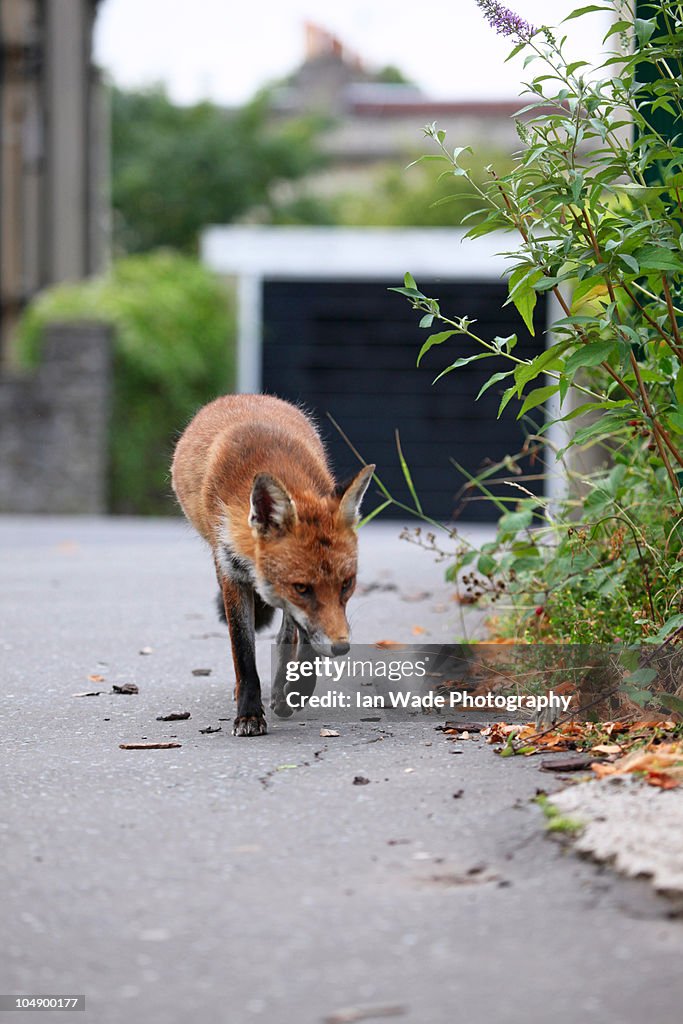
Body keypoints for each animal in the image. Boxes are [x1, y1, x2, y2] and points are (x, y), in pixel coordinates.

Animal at [171, 391, 374, 737]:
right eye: (302, 587)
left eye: (347, 585)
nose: (341, 648)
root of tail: (245, 395)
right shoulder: (232, 574)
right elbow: (243, 653)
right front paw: (249, 713)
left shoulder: (299, 607)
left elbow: (304, 642)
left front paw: (298, 689)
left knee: (286, 636)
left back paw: (283, 688)